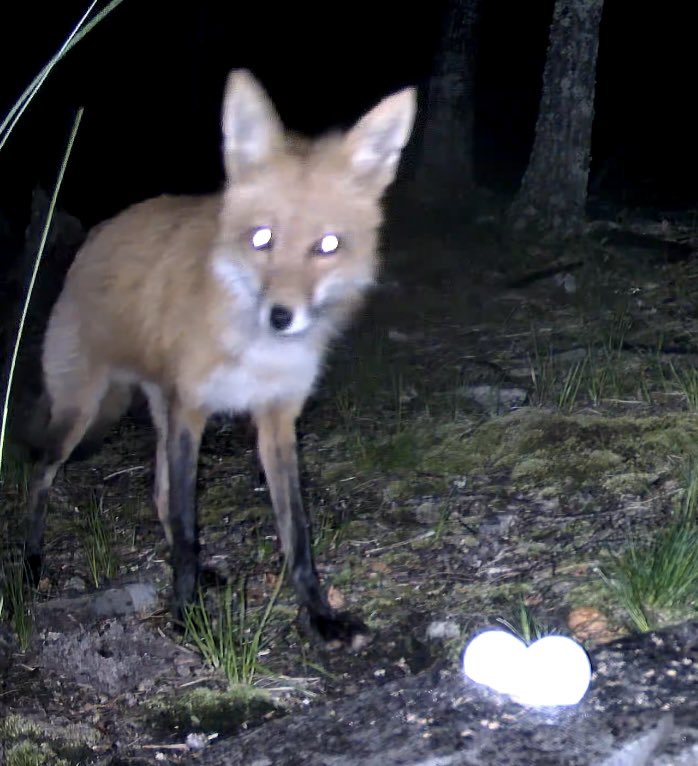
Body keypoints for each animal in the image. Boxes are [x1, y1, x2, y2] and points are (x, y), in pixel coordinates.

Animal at [25, 69, 416, 646]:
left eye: (327, 246)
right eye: (262, 238)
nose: (282, 316)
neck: (257, 354)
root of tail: (98, 232)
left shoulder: (276, 419)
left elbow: (296, 534)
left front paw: (320, 615)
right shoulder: (192, 410)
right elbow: (190, 529)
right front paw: (186, 615)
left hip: (159, 410)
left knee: (159, 493)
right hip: (83, 411)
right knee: (43, 475)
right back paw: (30, 562)